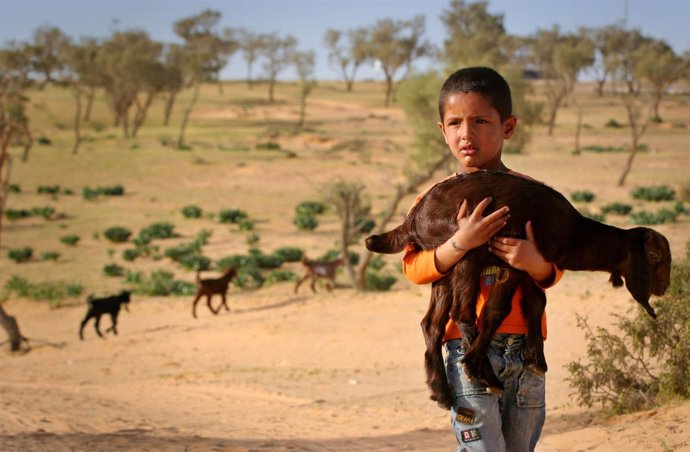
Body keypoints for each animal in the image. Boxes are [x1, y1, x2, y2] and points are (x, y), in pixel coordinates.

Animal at [362, 170, 668, 410]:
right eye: (654, 256)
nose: (664, 286)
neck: (574, 234)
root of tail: (412, 219)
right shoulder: (512, 259)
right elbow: (497, 310)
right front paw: (474, 364)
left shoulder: (531, 263)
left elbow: (536, 303)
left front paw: (536, 359)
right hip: (467, 246)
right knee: (461, 312)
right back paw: (482, 372)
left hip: (444, 265)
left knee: (433, 323)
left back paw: (441, 391)